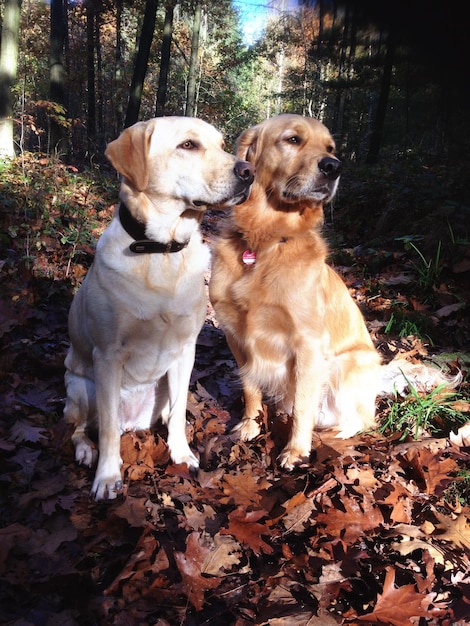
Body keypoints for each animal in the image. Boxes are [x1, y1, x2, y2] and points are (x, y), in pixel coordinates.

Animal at [210, 114, 458, 466]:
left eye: (330, 148)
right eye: (293, 139)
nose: (333, 167)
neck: (267, 242)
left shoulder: (308, 344)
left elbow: (303, 404)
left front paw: (296, 450)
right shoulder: (237, 337)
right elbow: (250, 388)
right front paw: (250, 425)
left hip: (347, 362)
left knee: (362, 420)